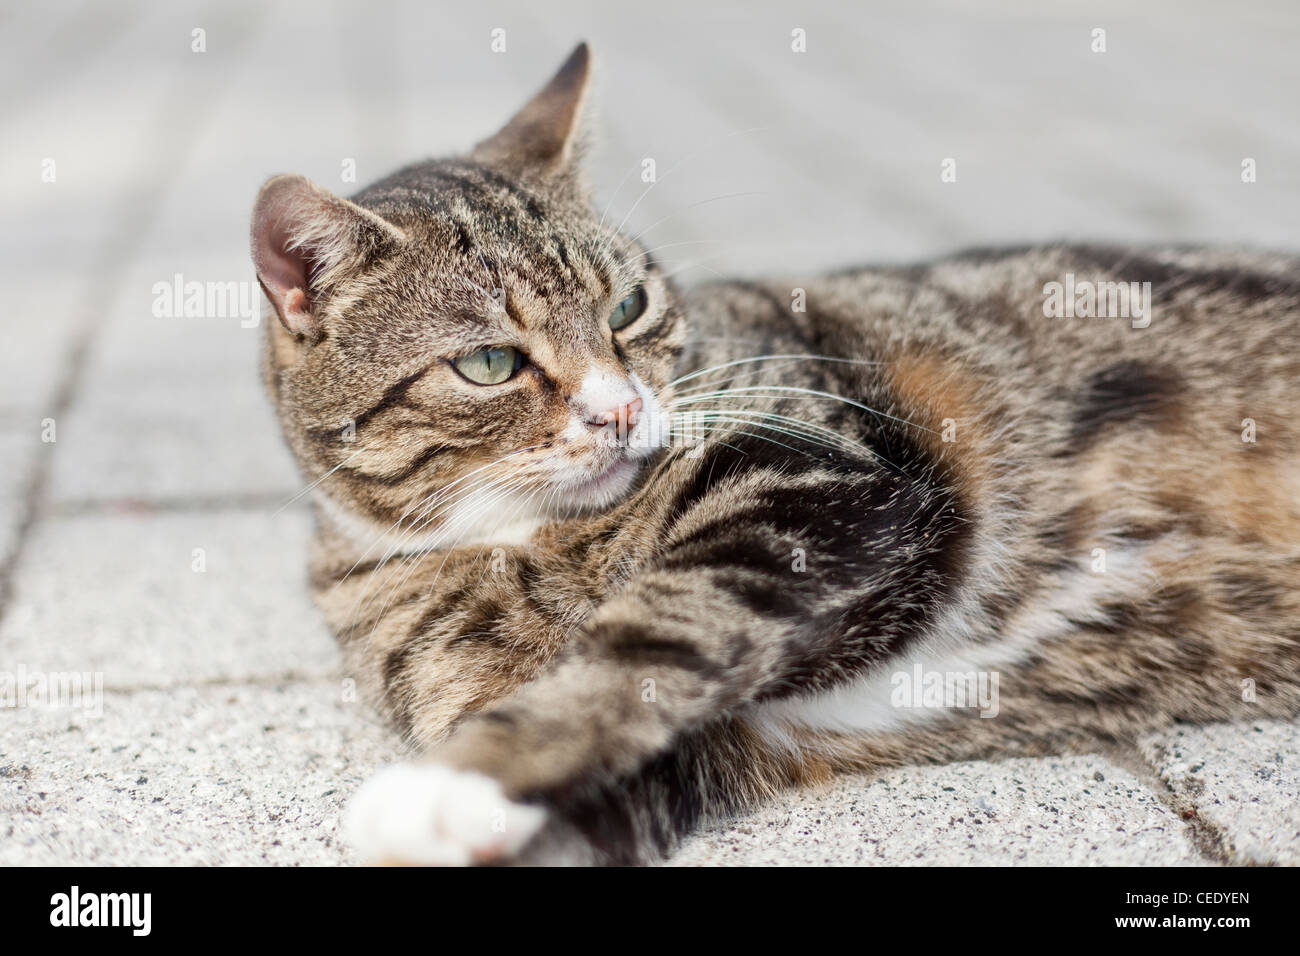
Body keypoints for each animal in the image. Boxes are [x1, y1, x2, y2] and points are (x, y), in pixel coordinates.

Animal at [248, 46, 1300, 868]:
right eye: (489, 363)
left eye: (628, 307)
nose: (622, 411)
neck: (529, 543)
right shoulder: (699, 745)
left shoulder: (818, 474)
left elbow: (652, 633)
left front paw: (456, 781)